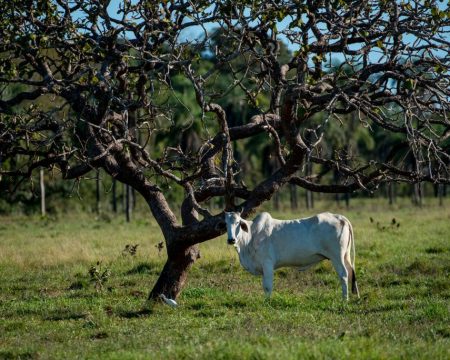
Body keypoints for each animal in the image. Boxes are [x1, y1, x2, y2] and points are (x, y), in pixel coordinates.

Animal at [227, 210, 360, 300]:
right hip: (345, 256)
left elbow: (267, 286)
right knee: (351, 272)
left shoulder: (267, 264)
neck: (251, 235)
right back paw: (356, 297)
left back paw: (345, 299)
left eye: (238, 222)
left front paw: (267, 302)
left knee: (344, 274)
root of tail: (340, 217)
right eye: (225, 223)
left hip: (336, 257)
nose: (231, 240)